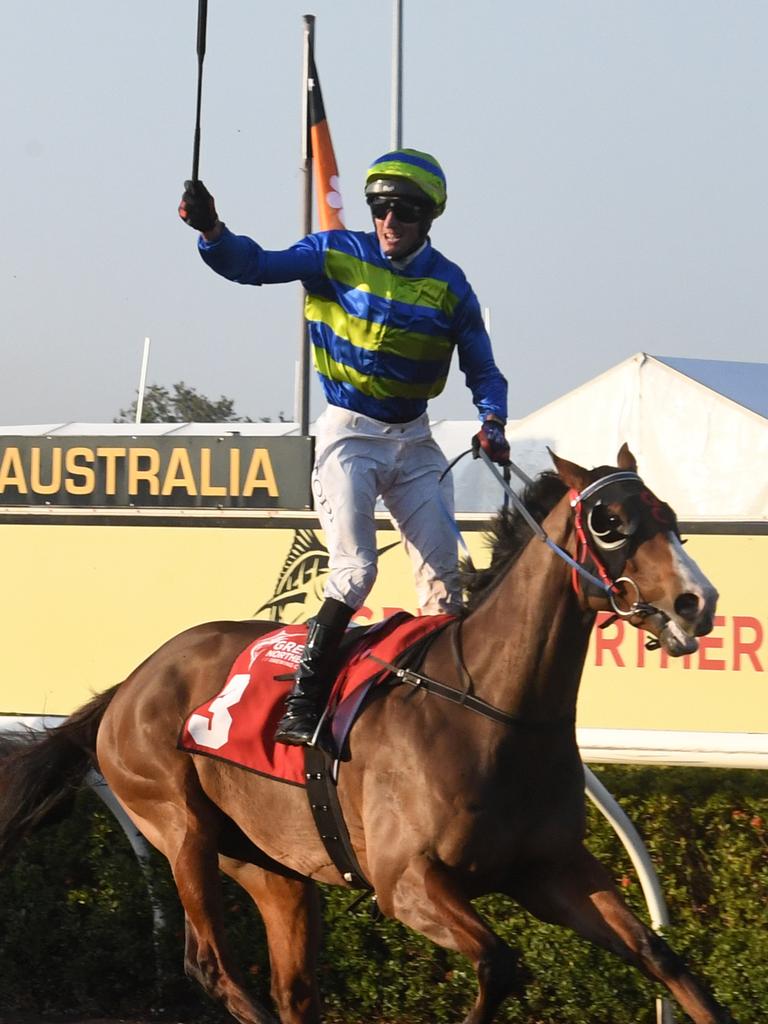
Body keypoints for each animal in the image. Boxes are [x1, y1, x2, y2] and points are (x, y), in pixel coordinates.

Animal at [0, 448, 737, 1024]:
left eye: (670, 515)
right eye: (610, 523)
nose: (696, 603)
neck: (492, 708)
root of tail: (129, 684)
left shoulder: (550, 869)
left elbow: (661, 955)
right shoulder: (405, 881)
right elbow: (499, 965)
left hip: (272, 866)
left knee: (294, 989)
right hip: (182, 830)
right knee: (209, 965)